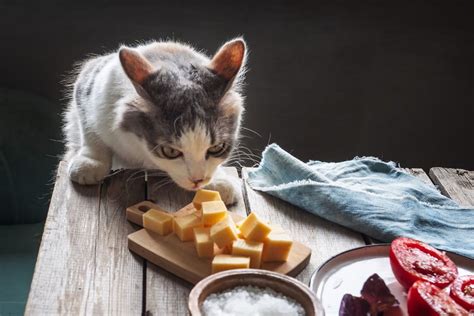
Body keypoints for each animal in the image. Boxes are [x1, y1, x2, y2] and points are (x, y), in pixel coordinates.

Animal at [62, 38, 246, 205]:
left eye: (216, 148)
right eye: (170, 151)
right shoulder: (91, 84)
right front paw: (91, 162)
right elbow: (90, 132)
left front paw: (219, 181)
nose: (197, 180)